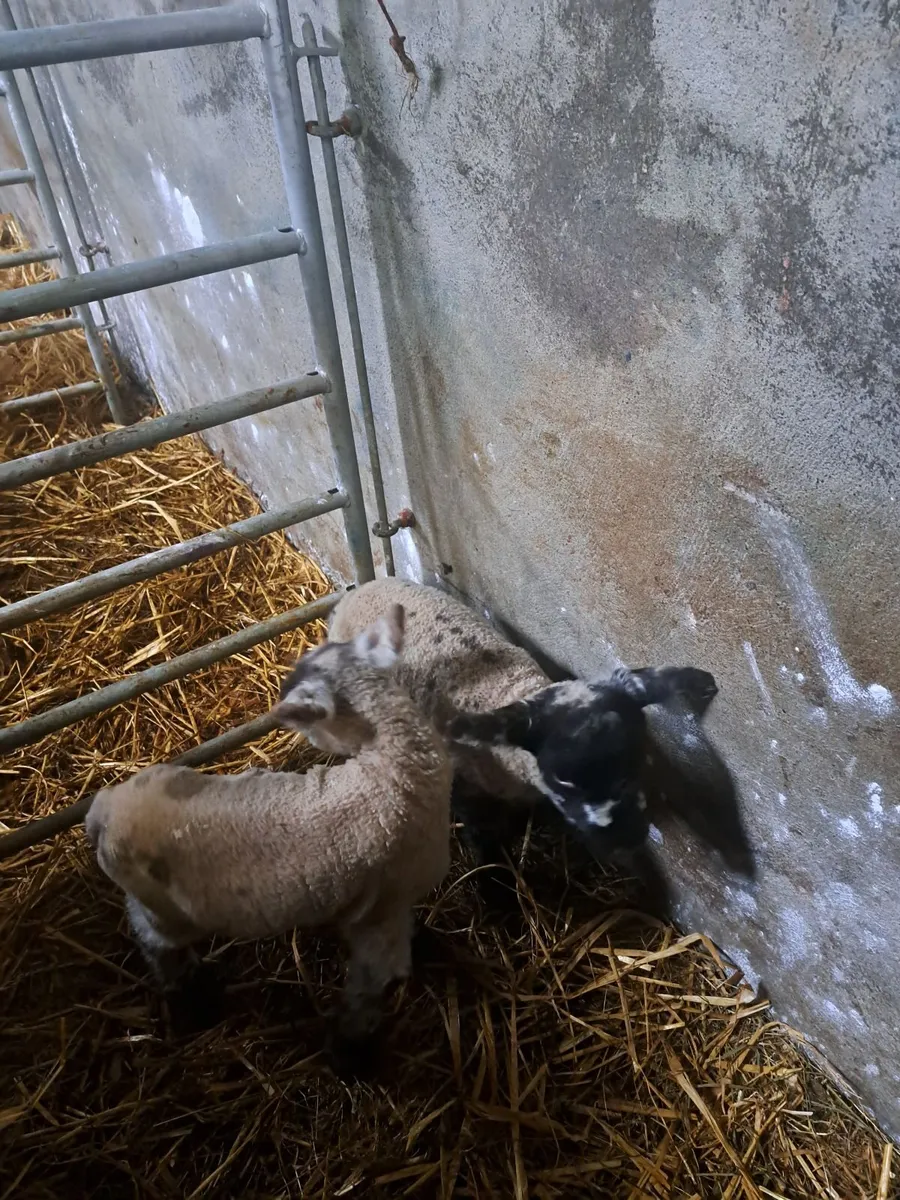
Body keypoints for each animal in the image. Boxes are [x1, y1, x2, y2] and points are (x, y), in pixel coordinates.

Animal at [85, 605, 452, 1066]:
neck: (396, 767)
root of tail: (103, 810)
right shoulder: (381, 916)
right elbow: (368, 990)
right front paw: (351, 1052)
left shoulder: (390, 904)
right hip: (165, 912)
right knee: (154, 941)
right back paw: (191, 997)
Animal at [328, 579, 719, 890]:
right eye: (562, 780)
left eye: (639, 761)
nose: (626, 840)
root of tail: (363, 587)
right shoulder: (470, 794)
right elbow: (486, 847)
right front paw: (495, 890)